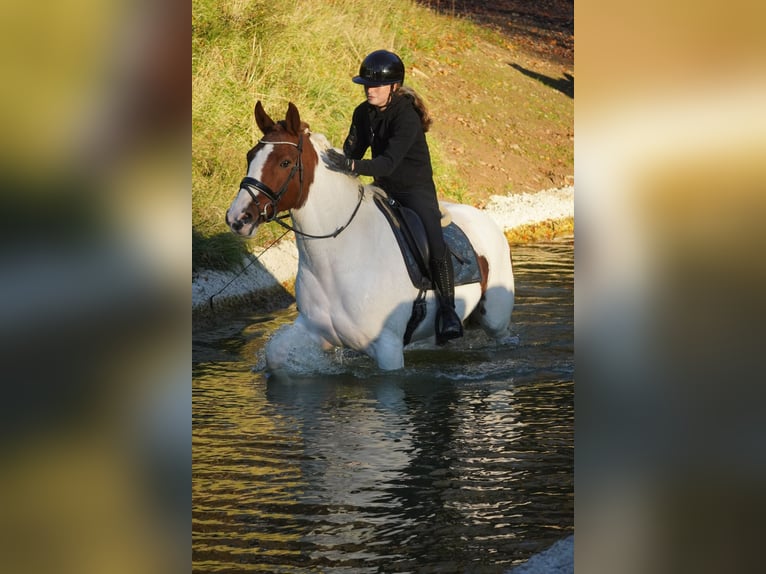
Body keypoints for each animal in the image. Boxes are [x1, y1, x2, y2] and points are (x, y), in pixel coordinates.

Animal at [225, 101, 515, 371]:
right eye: (250, 156)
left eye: (285, 162)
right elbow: (275, 353)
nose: (238, 218)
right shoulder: (313, 330)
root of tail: (486, 219)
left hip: (495, 319)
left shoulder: (387, 349)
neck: (339, 256)